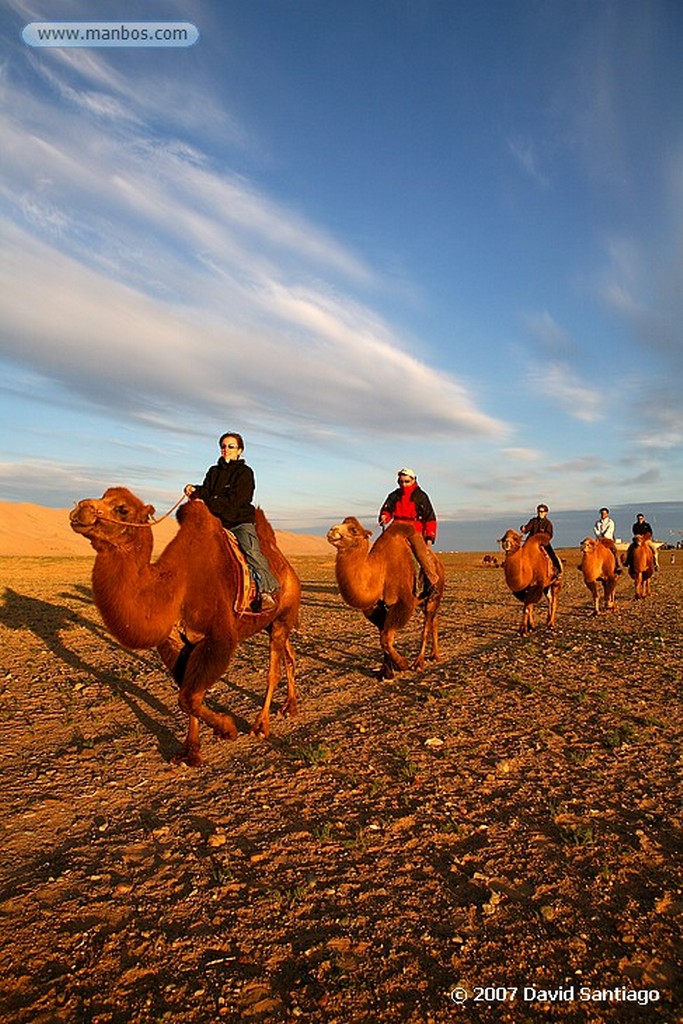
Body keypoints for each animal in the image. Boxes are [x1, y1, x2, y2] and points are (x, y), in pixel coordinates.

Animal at [70, 489, 301, 770]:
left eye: (122, 509)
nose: (80, 509)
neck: (176, 586)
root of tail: (287, 567)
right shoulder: (178, 644)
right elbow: (187, 695)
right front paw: (190, 752)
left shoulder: (218, 638)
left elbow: (190, 697)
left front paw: (227, 729)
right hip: (272, 623)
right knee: (289, 654)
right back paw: (290, 707)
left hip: (282, 616)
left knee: (273, 671)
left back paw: (260, 726)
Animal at [327, 520, 446, 679]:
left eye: (353, 530)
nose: (332, 530)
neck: (380, 571)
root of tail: (438, 564)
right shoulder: (377, 609)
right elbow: (383, 636)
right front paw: (386, 672)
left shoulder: (403, 603)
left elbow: (385, 639)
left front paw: (402, 664)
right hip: (424, 601)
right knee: (434, 620)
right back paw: (434, 655)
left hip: (434, 594)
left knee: (426, 625)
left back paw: (418, 663)